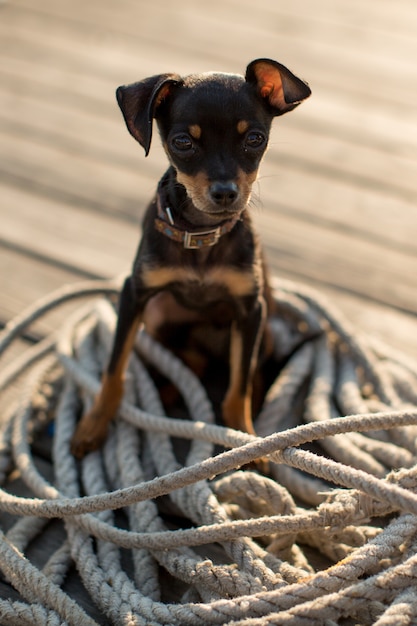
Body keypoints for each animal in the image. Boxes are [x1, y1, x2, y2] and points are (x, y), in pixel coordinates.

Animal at [69, 58, 308, 458]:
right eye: (183, 142)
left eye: (255, 139)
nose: (225, 193)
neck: (200, 234)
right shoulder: (134, 295)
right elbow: (114, 370)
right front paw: (94, 424)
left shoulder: (250, 309)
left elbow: (239, 386)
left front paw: (245, 437)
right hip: (158, 314)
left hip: (266, 331)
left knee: (254, 373)